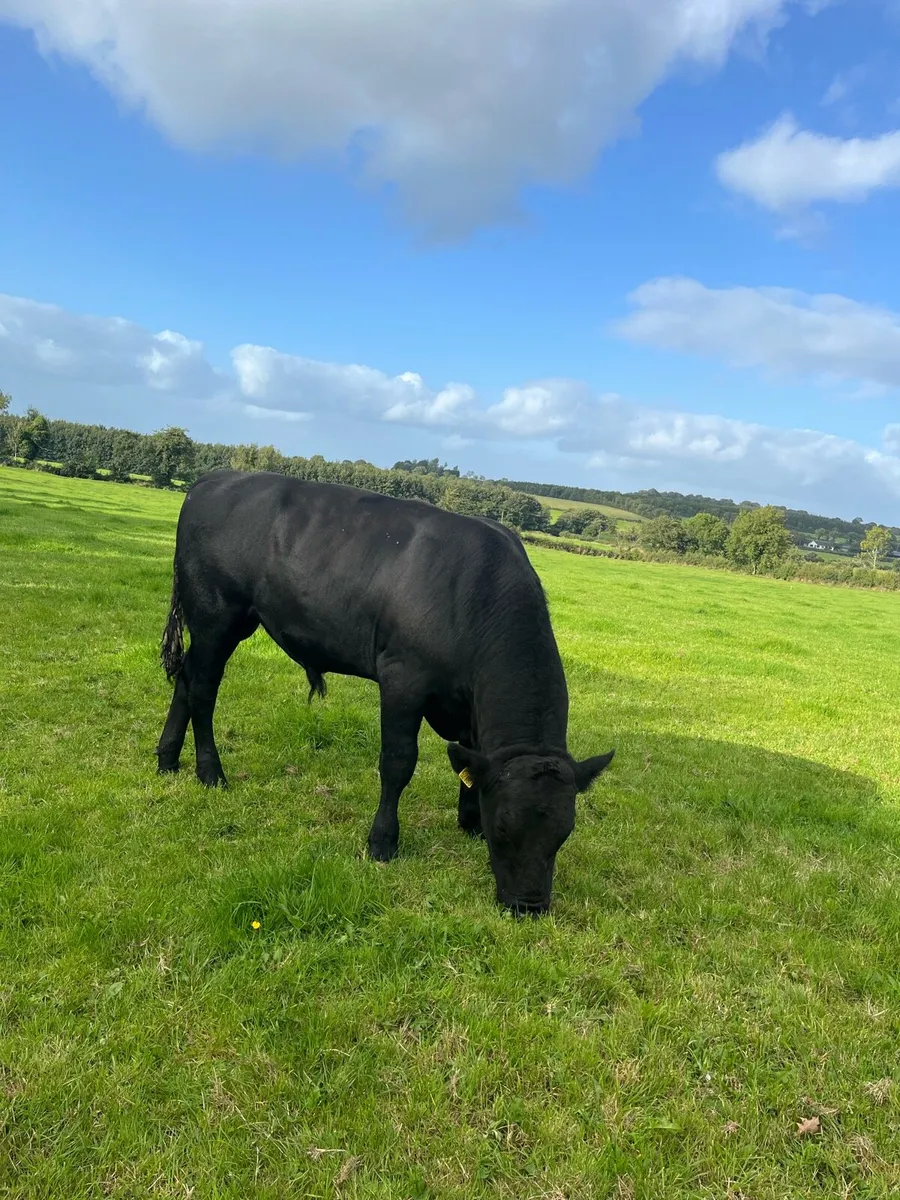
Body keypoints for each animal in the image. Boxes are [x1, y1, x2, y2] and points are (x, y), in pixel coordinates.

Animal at [156, 469, 614, 914]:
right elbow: (398, 762)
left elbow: (469, 763)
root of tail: (215, 478)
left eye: (565, 832)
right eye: (503, 826)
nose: (530, 906)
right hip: (216, 615)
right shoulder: (403, 679)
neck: (476, 593)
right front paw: (382, 842)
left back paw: (167, 760)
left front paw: (468, 822)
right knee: (203, 689)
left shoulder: (468, 708)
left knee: (186, 678)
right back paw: (210, 773)